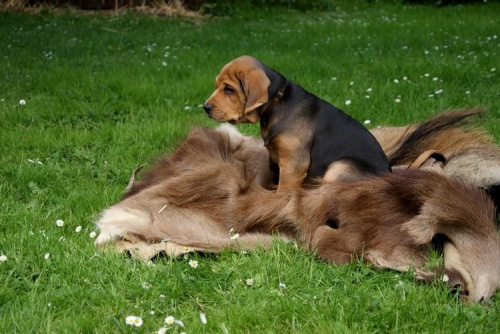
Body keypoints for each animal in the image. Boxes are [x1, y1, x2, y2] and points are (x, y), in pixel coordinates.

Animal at [203, 56, 390, 189]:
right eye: (216, 85)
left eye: (229, 90)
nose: (205, 107)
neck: (277, 101)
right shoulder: (275, 158)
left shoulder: (293, 163)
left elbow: (283, 188)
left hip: (340, 167)